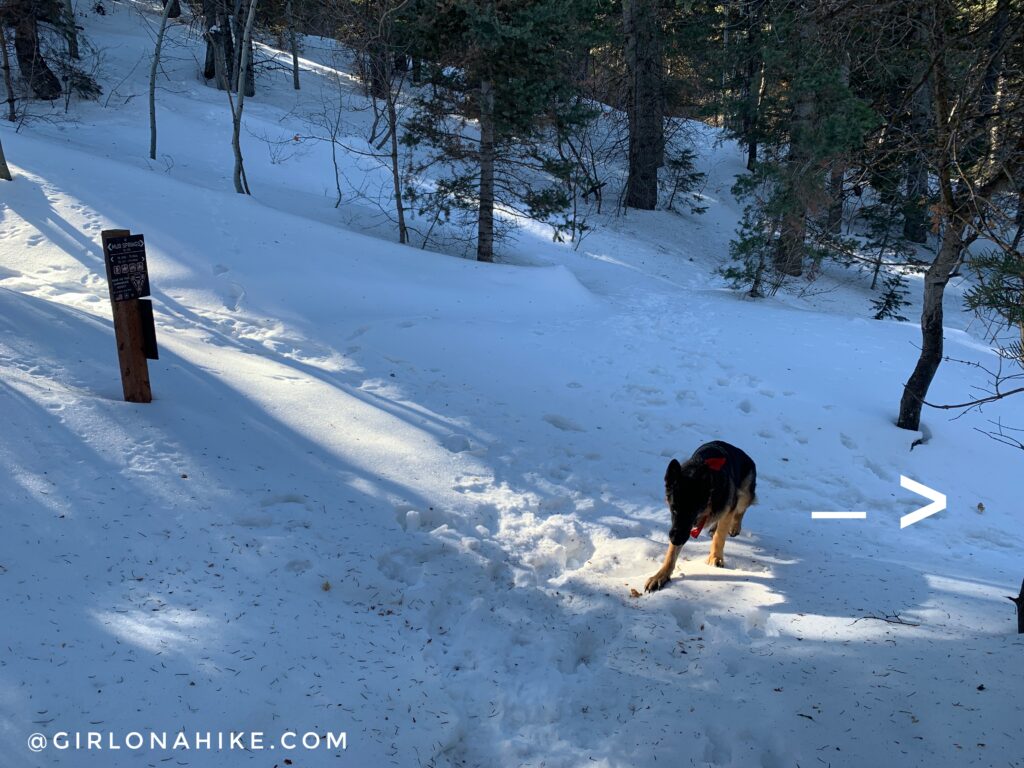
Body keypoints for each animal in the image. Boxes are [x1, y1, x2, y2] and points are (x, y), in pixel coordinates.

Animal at [643, 438, 757, 593]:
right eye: (673, 508)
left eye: (692, 512)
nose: (675, 539)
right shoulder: (678, 527)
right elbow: (671, 553)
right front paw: (661, 575)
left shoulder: (728, 506)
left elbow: (720, 537)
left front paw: (715, 557)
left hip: (744, 493)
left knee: (741, 509)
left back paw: (734, 527)